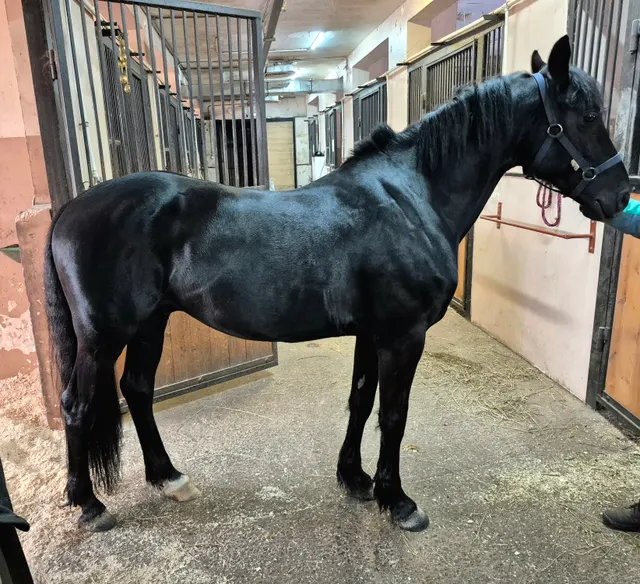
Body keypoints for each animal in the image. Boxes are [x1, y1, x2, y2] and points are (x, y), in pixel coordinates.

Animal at [44, 36, 630, 533]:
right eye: (587, 116)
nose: (620, 197)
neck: (409, 200)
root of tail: (70, 209)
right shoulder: (403, 336)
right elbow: (393, 415)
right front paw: (399, 501)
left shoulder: (372, 335)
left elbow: (361, 401)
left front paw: (356, 479)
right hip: (103, 336)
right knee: (77, 404)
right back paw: (90, 505)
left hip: (151, 323)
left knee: (138, 391)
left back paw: (169, 478)